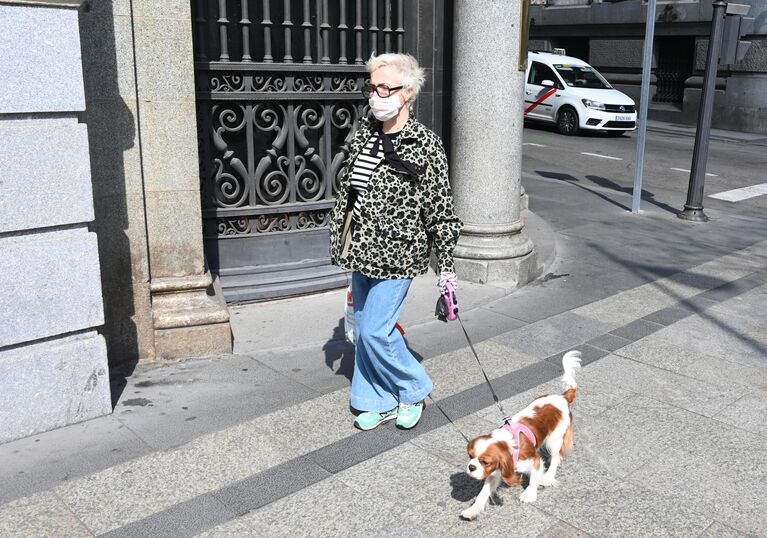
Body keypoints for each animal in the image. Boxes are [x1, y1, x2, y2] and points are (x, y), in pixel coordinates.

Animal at [462, 350, 584, 516]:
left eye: (485, 462)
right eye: (470, 456)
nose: (471, 467)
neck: (510, 447)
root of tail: (563, 397)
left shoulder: (534, 460)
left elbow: (533, 478)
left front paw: (529, 494)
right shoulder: (496, 471)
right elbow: (483, 493)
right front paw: (473, 510)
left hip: (555, 438)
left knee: (555, 458)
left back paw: (548, 477)